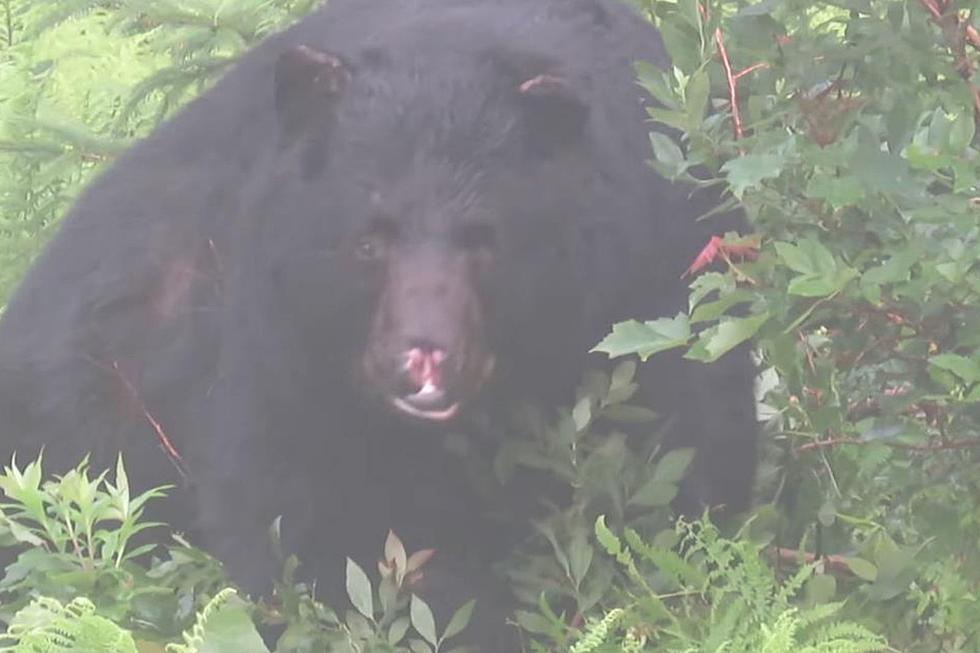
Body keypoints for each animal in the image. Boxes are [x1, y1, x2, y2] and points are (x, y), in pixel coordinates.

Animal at [0, 0, 756, 648]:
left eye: (484, 239)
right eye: (369, 240)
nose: (420, 363)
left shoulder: (656, 267)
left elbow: (685, 450)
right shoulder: (285, 335)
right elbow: (322, 522)